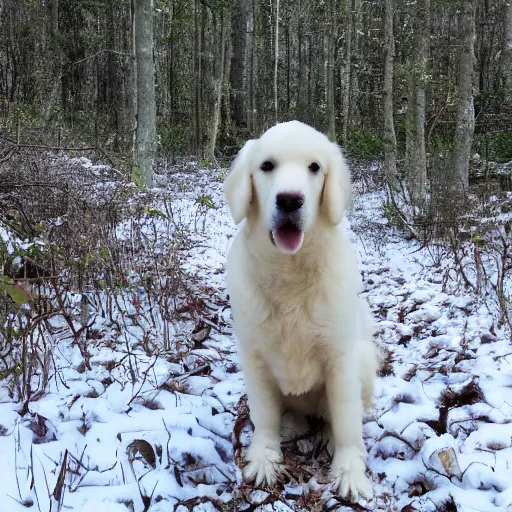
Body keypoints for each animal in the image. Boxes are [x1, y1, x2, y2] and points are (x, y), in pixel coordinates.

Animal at [223, 121, 376, 500]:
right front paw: (264, 457)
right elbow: (264, 414)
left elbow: (347, 419)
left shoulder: (340, 355)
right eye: (267, 166)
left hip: (364, 358)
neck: (290, 271)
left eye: (314, 168)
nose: (290, 200)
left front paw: (350, 472)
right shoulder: (254, 355)